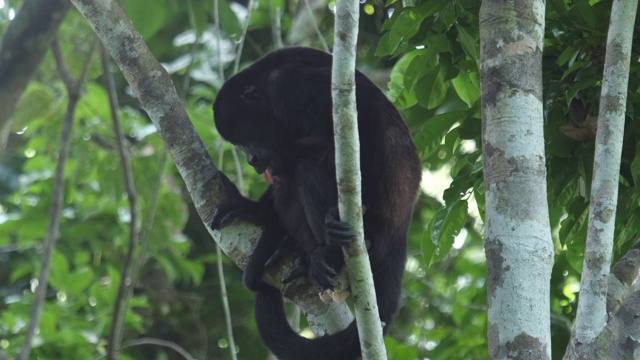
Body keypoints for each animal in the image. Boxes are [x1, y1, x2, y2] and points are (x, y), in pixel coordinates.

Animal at [211, 47, 420, 360]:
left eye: (245, 135)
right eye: (238, 144)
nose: (251, 159)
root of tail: (400, 228)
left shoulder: (294, 86)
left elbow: (359, 125)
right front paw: (250, 208)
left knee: (307, 163)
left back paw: (330, 251)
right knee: (287, 187)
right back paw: (304, 257)